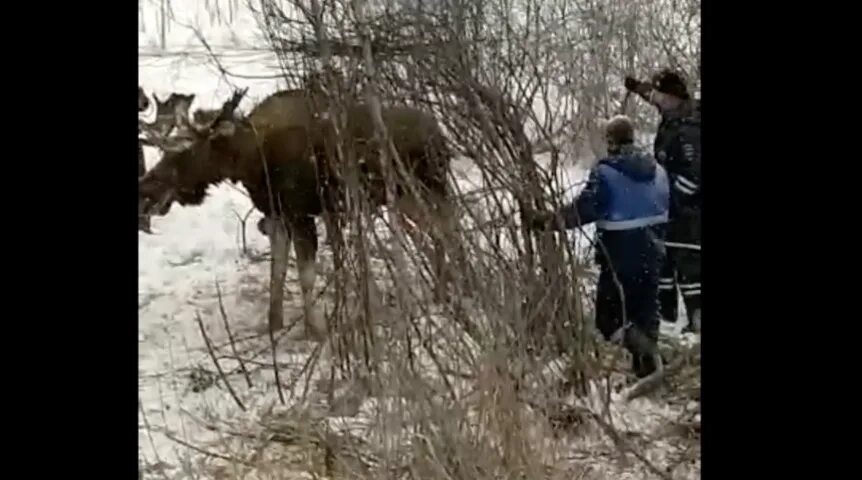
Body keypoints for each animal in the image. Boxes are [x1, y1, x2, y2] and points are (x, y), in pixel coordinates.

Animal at [138, 88, 456, 340]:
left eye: (184, 153)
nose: (146, 188)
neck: (252, 163)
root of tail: (441, 136)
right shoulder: (279, 216)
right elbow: (277, 271)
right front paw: (273, 323)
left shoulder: (302, 215)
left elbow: (305, 275)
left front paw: (315, 329)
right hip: (403, 201)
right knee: (435, 234)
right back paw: (442, 289)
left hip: (424, 190)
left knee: (444, 231)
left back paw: (443, 292)